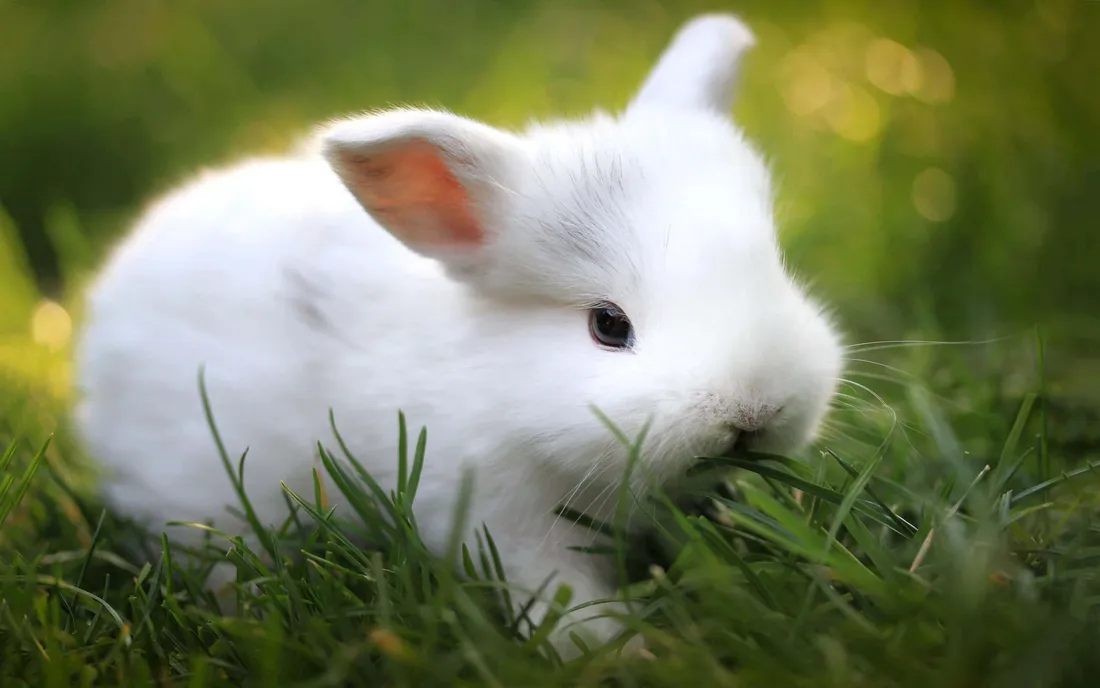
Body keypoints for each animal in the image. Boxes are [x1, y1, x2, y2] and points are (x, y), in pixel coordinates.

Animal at [73, 13, 843, 658]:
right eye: (608, 325)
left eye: (774, 268)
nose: (754, 411)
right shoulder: (501, 521)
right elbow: (559, 597)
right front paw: (622, 654)